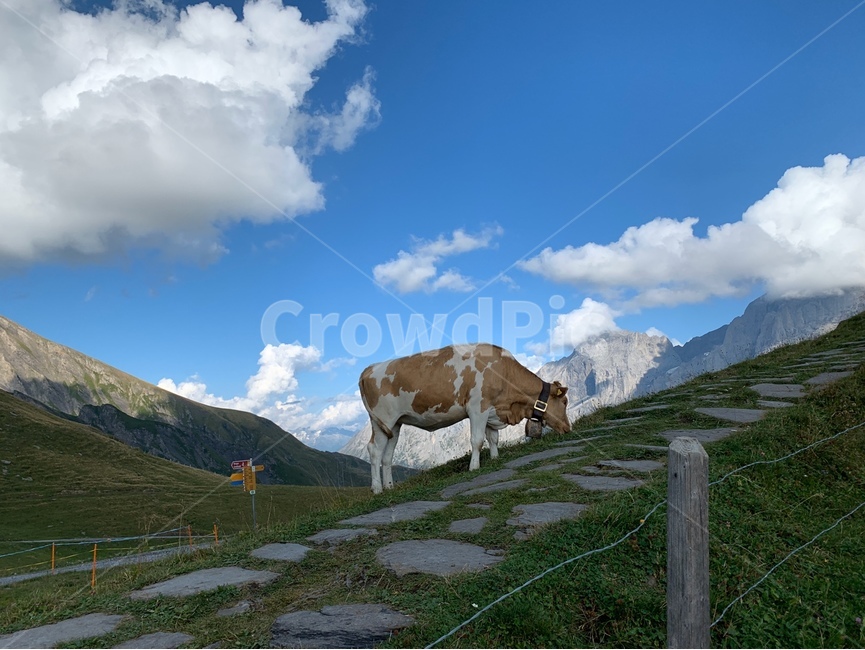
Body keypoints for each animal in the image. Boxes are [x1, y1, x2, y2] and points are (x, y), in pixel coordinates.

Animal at [358, 343, 570, 494]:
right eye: (565, 401)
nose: (568, 428)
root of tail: (369, 368)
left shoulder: (491, 411)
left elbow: (493, 438)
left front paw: (494, 458)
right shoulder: (477, 407)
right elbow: (477, 440)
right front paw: (474, 467)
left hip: (394, 425)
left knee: (387, 455)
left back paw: (389, 486)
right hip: (383, 419)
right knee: (375, 450)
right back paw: (377, 489)